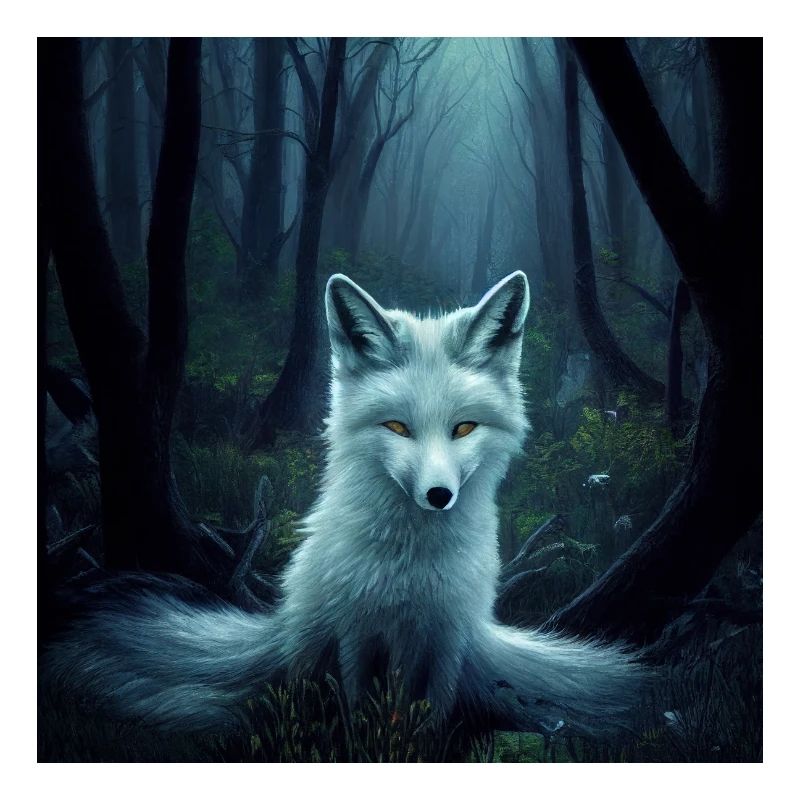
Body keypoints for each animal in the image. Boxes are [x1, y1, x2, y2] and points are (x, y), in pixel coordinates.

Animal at [43, 271, 648, 737]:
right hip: (311, 644)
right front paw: (367, 742)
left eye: (464, 428)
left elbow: (430, 714)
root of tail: (277, 629)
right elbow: (361, 708)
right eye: (397, 427)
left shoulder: (444, 637)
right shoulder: (356, 630)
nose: (438, 496)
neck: (410, 569)